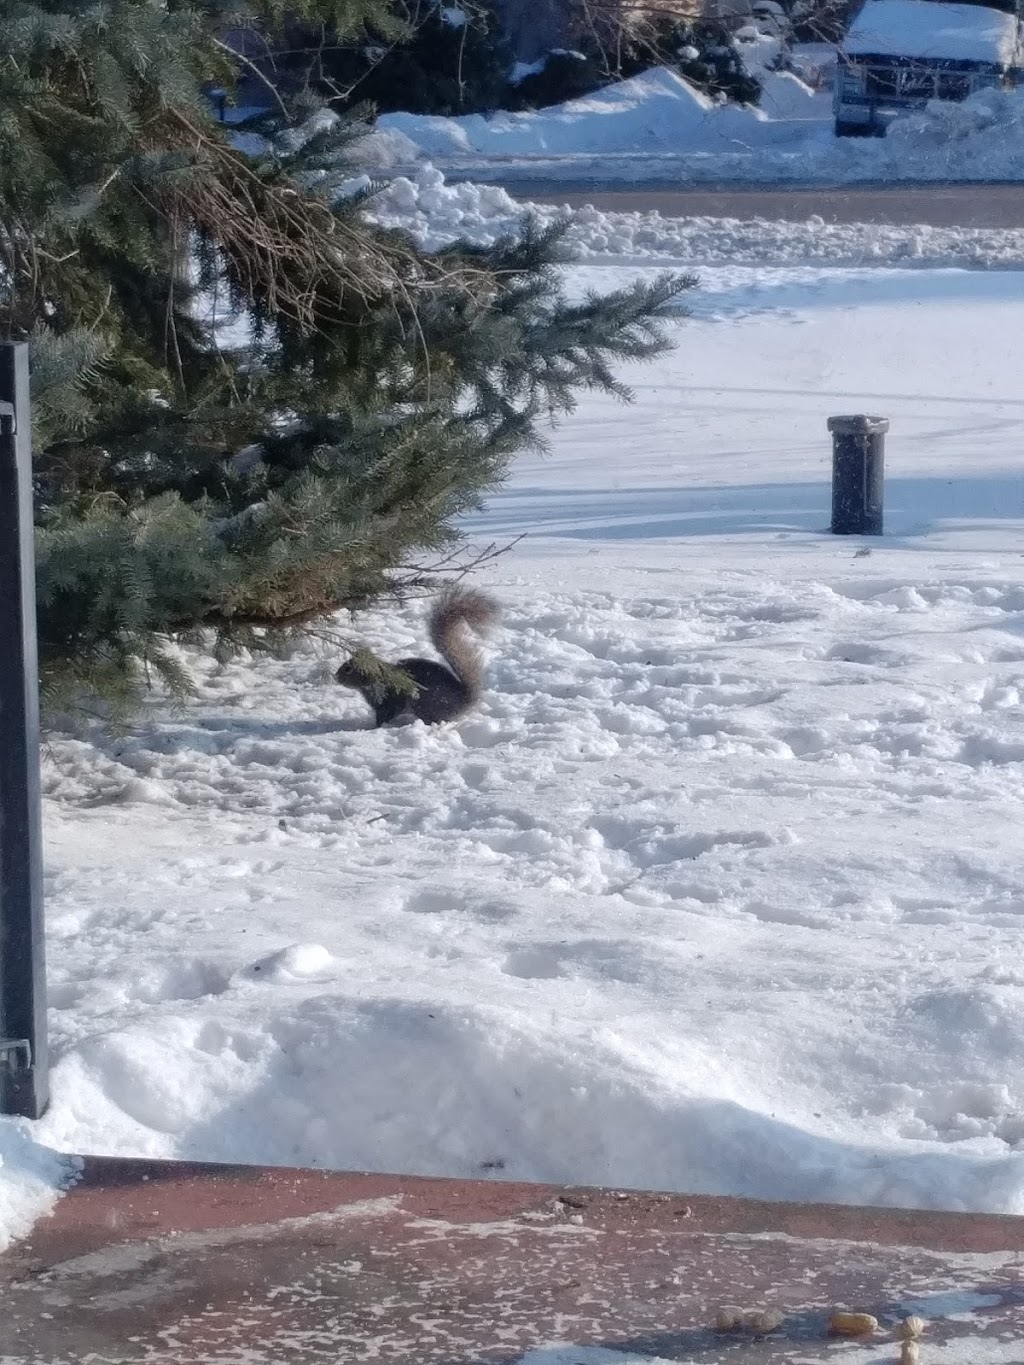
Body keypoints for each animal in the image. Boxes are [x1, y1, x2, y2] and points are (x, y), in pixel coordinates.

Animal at [337, 592, 502, 731]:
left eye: (348, 669)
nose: (336, 676)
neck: (375, 678)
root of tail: (463, 701)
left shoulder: (389, 700)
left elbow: (387, 714)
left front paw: (375, 729)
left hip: (423, 704)